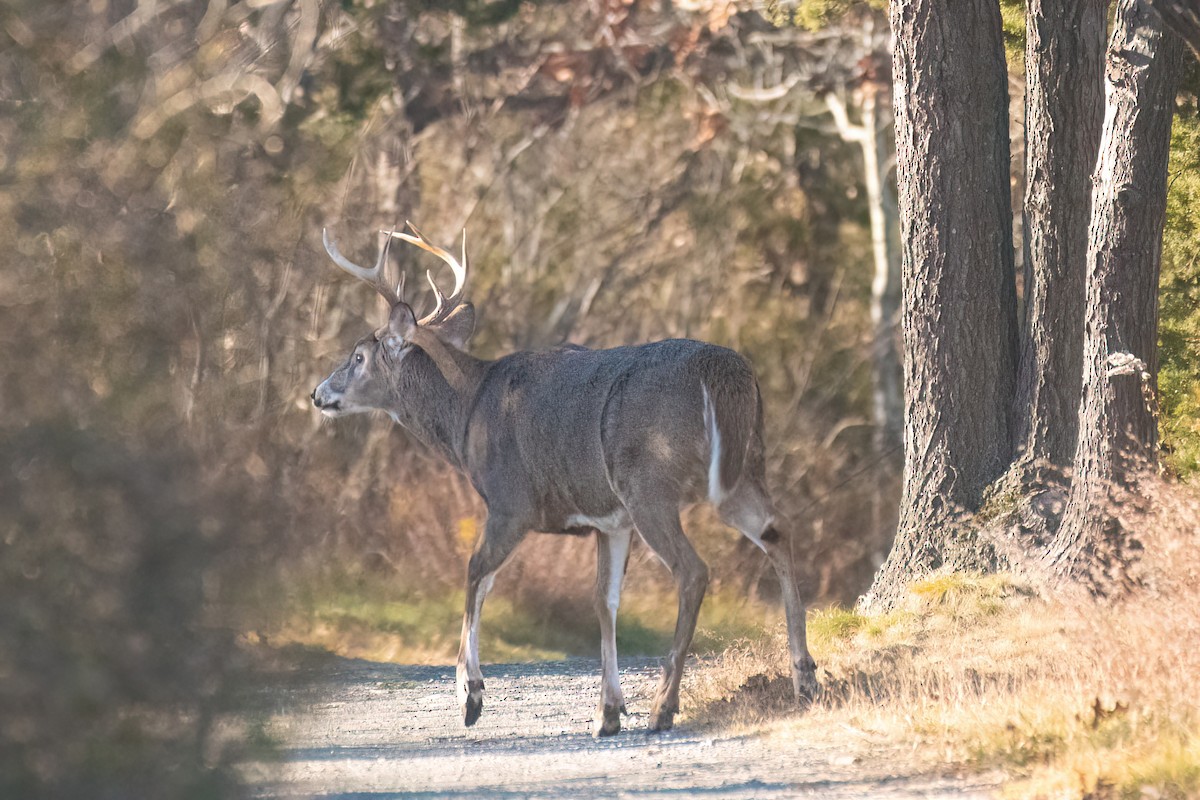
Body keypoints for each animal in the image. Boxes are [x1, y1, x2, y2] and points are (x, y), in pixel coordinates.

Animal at [311, 223, 819, 736]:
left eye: (358, 356)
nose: (317, 393)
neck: (467, 414)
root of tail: (726, 374)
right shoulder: (610, 520)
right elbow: (604, 600)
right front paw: (607, 712)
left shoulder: (511, 502)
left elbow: (476, 573)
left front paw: (469, 695)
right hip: (743, 469)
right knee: (777, 530)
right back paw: (805, 680)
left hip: (649, 482)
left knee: (693, 570)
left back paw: (664, 706)